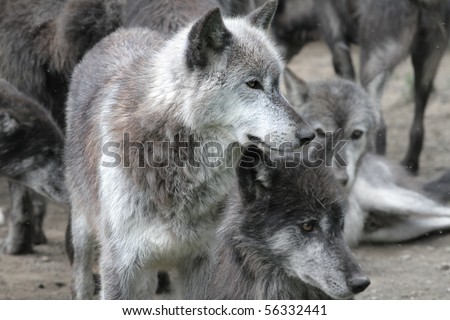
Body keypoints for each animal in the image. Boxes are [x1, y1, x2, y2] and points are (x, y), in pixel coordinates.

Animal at [66, 0, 316, 300]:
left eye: (277, 85)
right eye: (253, 84)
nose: (308, 135)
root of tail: (123, 32)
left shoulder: (202, 261)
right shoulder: (118, 266)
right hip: (83, 230)